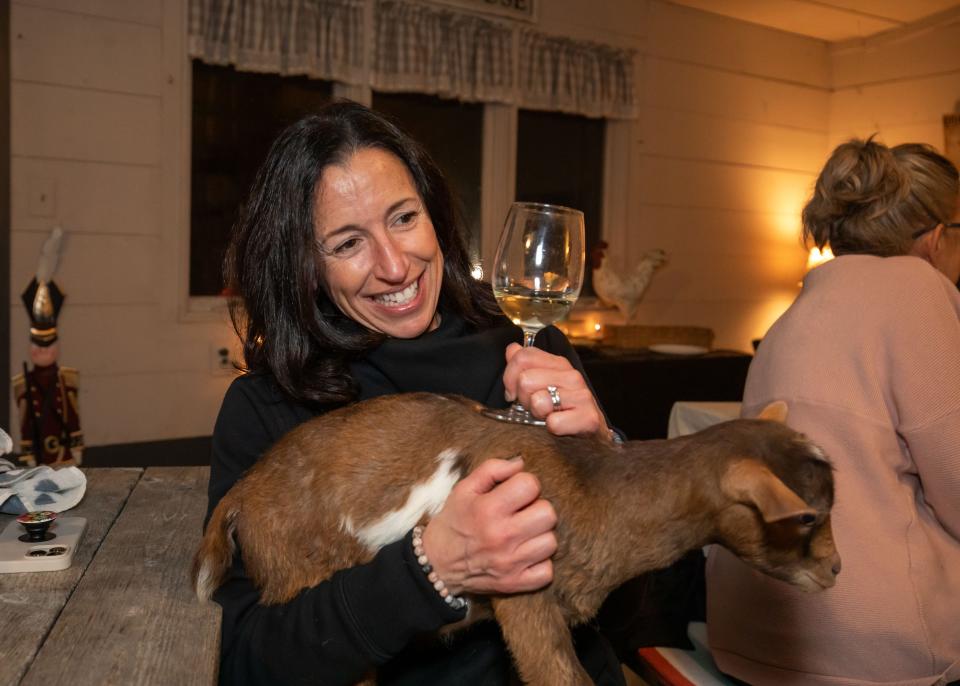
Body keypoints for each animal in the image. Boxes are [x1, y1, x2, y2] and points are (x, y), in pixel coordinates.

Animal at [197, 392, 840, 686]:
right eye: (806, 518)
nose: (835, 571)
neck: (600, 491)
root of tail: (241, 495)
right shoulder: (528, 598)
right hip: (292, 569)